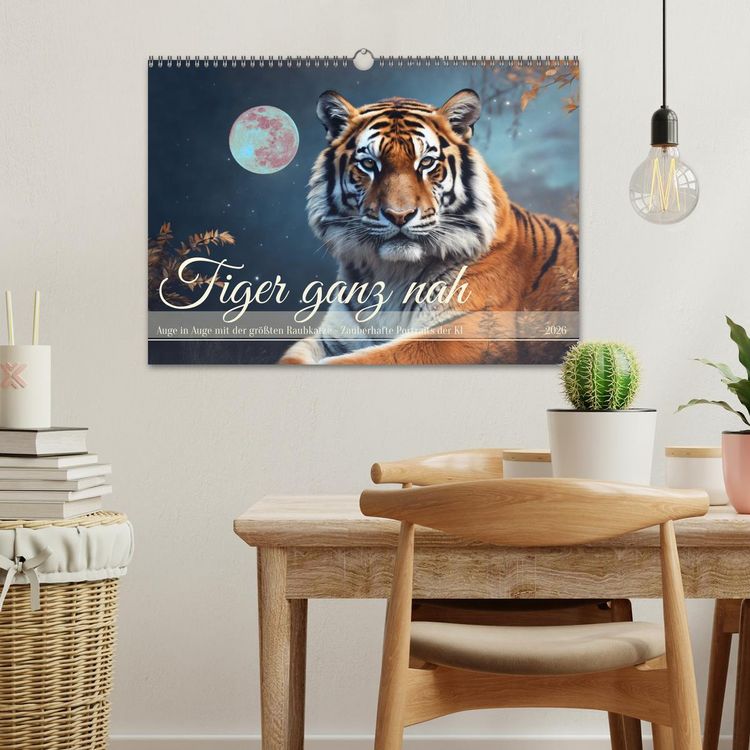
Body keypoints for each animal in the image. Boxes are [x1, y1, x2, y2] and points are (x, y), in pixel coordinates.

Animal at [279, 88, 578, 365]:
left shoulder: (465, 334)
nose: (399, 215)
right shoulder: (332, 336)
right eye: (369, 164)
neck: (391, 273)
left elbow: (368, 359)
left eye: (426, 162)